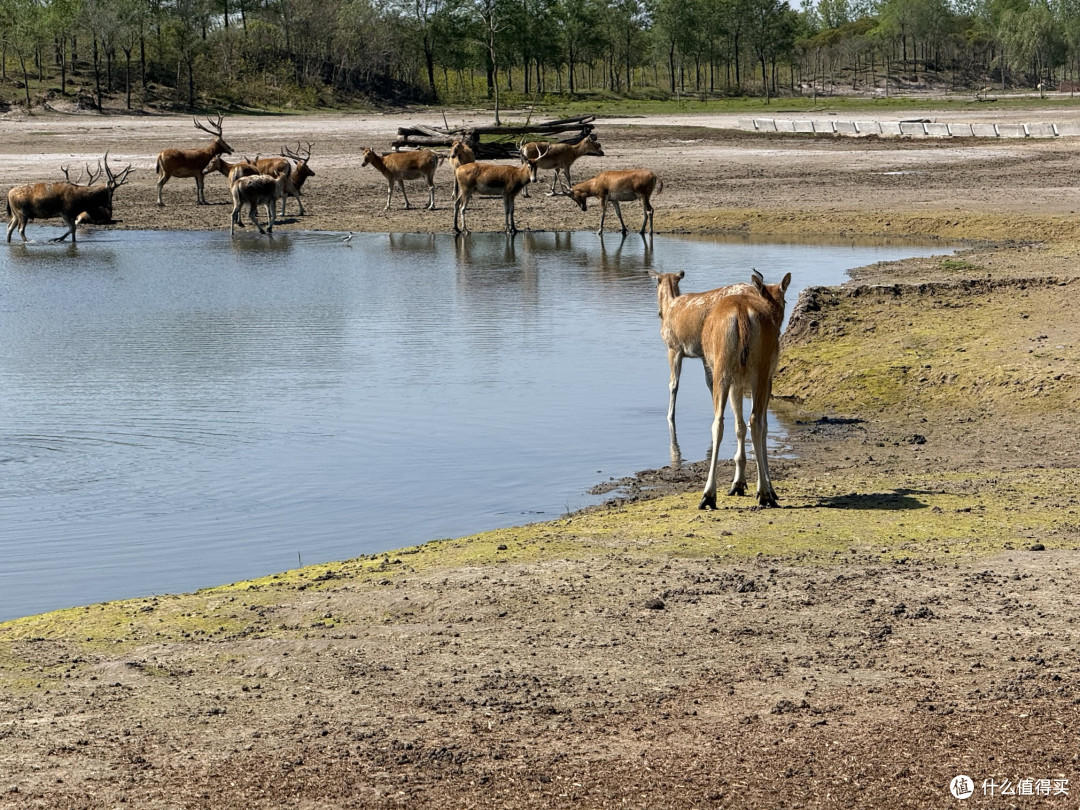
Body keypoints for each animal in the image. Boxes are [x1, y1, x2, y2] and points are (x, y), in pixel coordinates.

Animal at [698, 270, 791, 510]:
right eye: (784, 298)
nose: (780, 318)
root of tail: (741, 314)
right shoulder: (767, 379)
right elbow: (759, 426)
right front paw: (767, 487)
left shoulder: (737, 383)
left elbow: (738, 426)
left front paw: (738, 483)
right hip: (759, 371)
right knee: (756, 421)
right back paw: (765, 493)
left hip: (722, 371)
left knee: (719, 422)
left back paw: (708, 496)